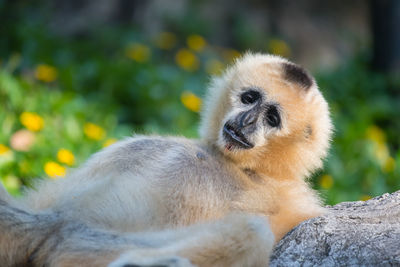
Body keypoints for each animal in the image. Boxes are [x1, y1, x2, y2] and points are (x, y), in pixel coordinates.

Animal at [0, 52, 332, 267]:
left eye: (272, 118)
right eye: (249, 98)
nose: (247, 120)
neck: (243, 166)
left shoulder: (297, 202)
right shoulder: (132, 146)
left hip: (83, 244)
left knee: (253, 232)